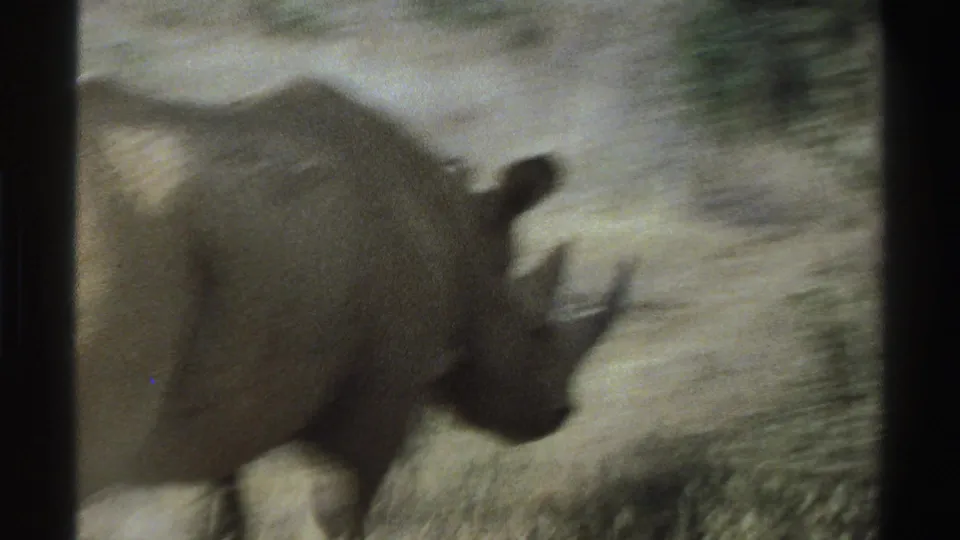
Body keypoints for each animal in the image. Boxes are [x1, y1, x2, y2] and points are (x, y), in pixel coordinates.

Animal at [77, 76, 635, 539]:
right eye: (534, 329)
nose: (560, 413)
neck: (461, 235)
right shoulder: (382, 386)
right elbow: (341, 507)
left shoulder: (223, 405)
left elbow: (223, 508)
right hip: (121, 249)